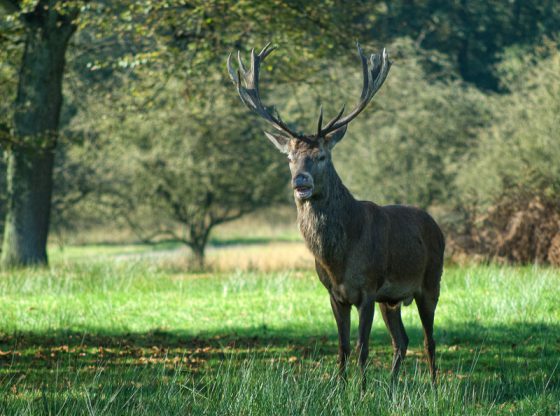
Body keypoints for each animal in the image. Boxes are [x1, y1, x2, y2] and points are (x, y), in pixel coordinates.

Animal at [225, 43, 444, 390]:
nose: (300, 182)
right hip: (391, 299)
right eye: (290, 157)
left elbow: (362, 345)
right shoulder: (334, 293)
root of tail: (437, 227)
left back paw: (435, 386)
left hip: (430, 282)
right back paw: (392, 387)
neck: (338, 259)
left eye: (322, 156)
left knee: (428, 340)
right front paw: (339, 388)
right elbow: (342, 345)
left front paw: (361, 391)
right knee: (402, 340)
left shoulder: (368, 289)